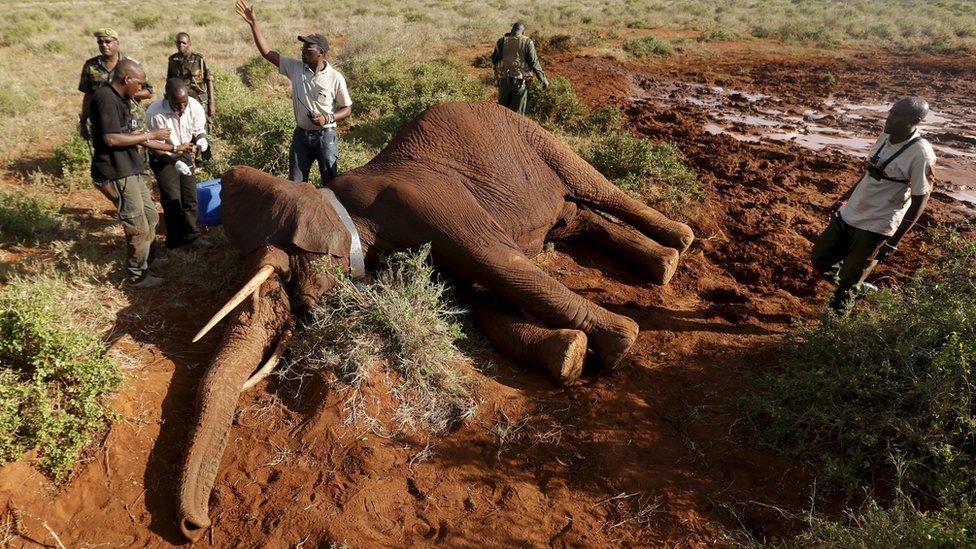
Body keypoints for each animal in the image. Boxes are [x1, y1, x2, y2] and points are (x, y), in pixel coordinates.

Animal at [177, 101, 693, 541]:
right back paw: (664, 263)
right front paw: (568, 354)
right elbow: (480, 301)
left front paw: (618, 343)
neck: (340, 207)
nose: (196, 526)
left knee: (593, 184)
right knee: (577, 216)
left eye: (280, 281)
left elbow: (498, 263)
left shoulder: (424, 202)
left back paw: (680, 244)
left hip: (531, 133)